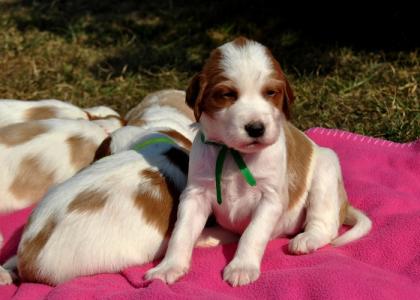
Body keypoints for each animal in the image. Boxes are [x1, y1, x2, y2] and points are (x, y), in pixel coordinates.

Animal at [146, 37, 372, 286]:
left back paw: (306, 240)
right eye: (227, 94)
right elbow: (182, 232)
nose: (256, 128)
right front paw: (168, 267)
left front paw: (242, 266)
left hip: (325, 175)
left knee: (325, 226)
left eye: (270, 92)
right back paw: (207, 235)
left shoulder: (270, 198)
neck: (234, 153)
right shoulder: (196, 194)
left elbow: (252, 233)